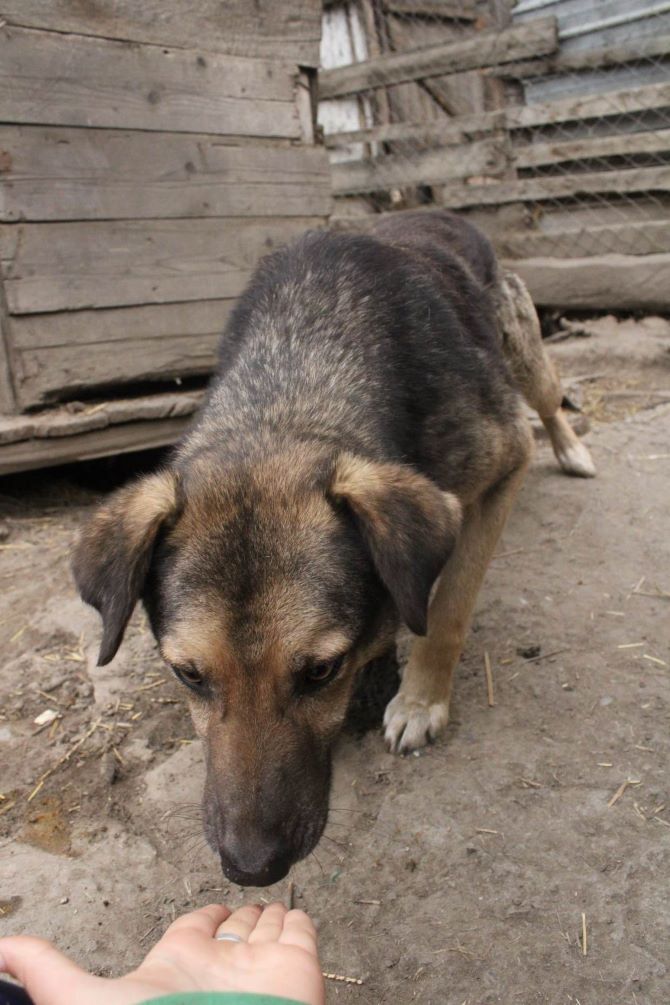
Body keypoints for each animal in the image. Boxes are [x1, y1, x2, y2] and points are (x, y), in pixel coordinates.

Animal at [74, 208, 598, 884]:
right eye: (188, 674)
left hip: (524, 358)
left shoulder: (502, 464)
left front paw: (420, 700)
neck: (293, 388)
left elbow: (446, 612)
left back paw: (573, 449)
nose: (250, 868)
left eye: (321, 671)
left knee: (550, 399)